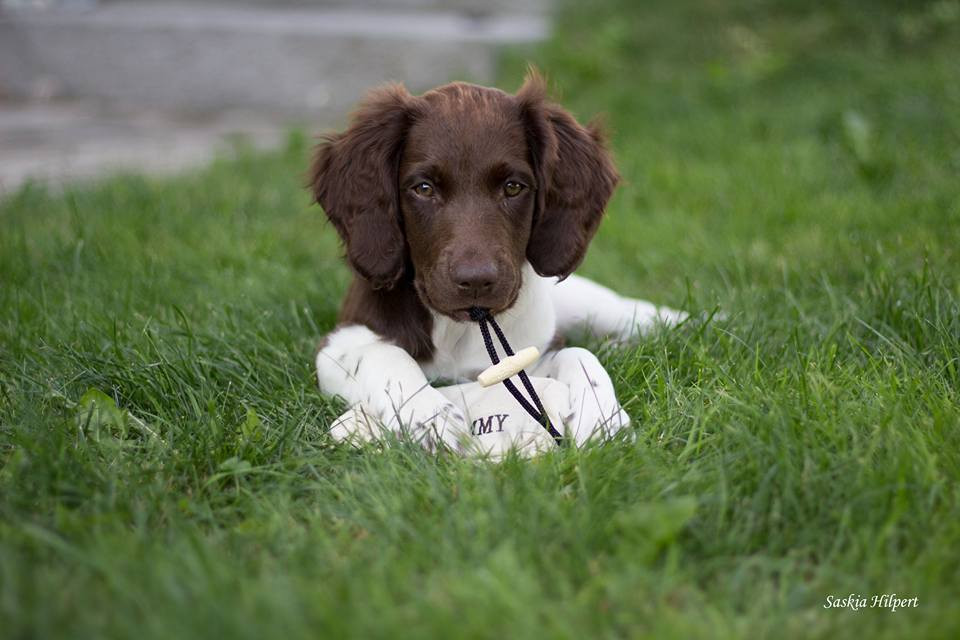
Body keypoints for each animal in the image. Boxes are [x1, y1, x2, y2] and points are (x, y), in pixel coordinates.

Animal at [308, 71, 684, 450]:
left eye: (513, 187)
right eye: (424, 188)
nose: (476, 280)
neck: (465, 327)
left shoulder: (532, 354)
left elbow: (578, 354)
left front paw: (601, 416)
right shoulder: (337, 343)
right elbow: (382, 354)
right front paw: (429, 415)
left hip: (593, 306)